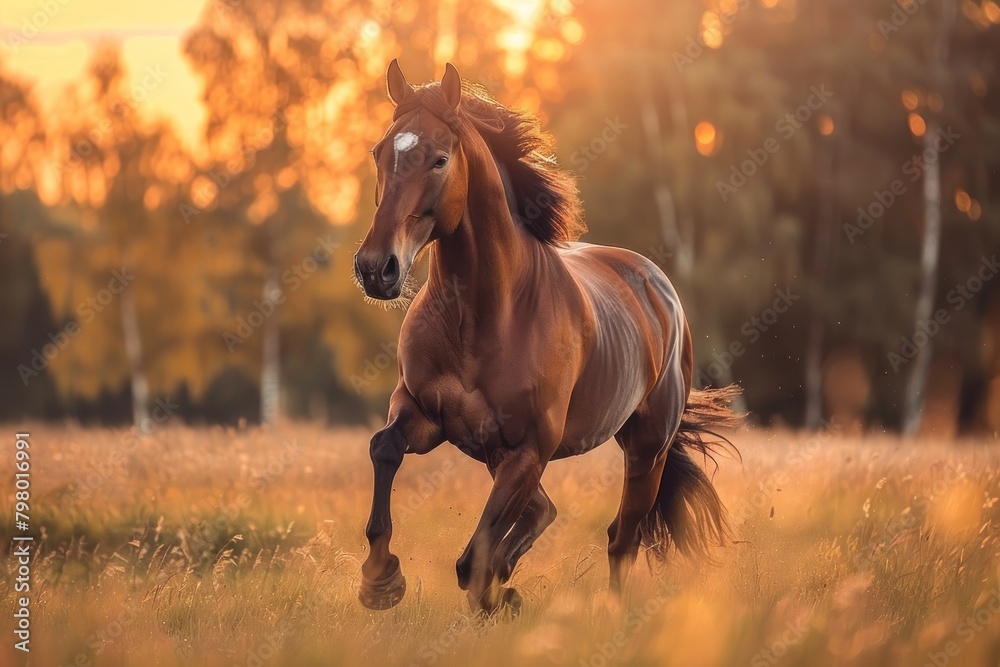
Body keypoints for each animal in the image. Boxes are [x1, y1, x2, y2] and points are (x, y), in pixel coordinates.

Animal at [353, 60, 742, 616]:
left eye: (440, 159)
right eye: (379, 153)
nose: (375, 269)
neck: (485, 317)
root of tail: (659, 288)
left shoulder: (528, 450)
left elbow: (473, 561)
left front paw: (497, 596)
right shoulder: (424, 415)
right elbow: (384, 447)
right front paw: (381, 579)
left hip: (645, 451)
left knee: (620, 538)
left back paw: (608, 612)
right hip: (496, 453)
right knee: (545, 511)